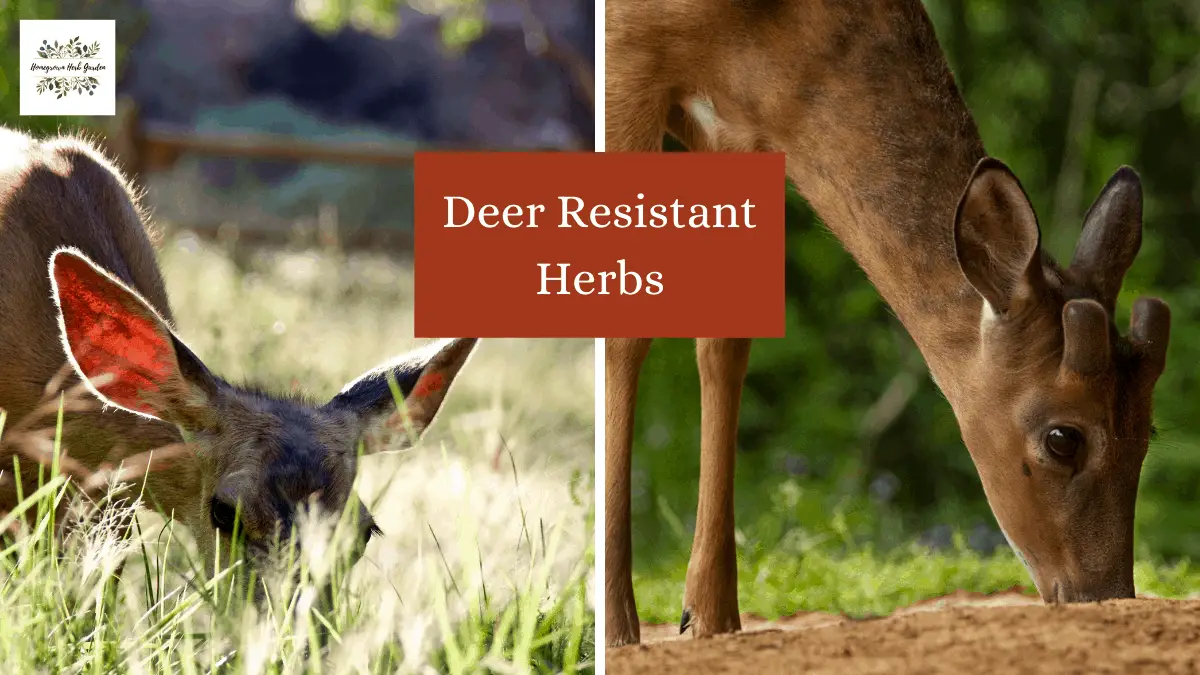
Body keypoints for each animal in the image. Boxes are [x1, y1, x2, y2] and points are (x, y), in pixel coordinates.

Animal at [604, 0, 1172, 647]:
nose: (1106, 596)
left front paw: (711, 619)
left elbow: (726, 339)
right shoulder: (626, 61)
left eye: (1147, 430)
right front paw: (618, 628)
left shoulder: (734, 129)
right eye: (1063, 437)